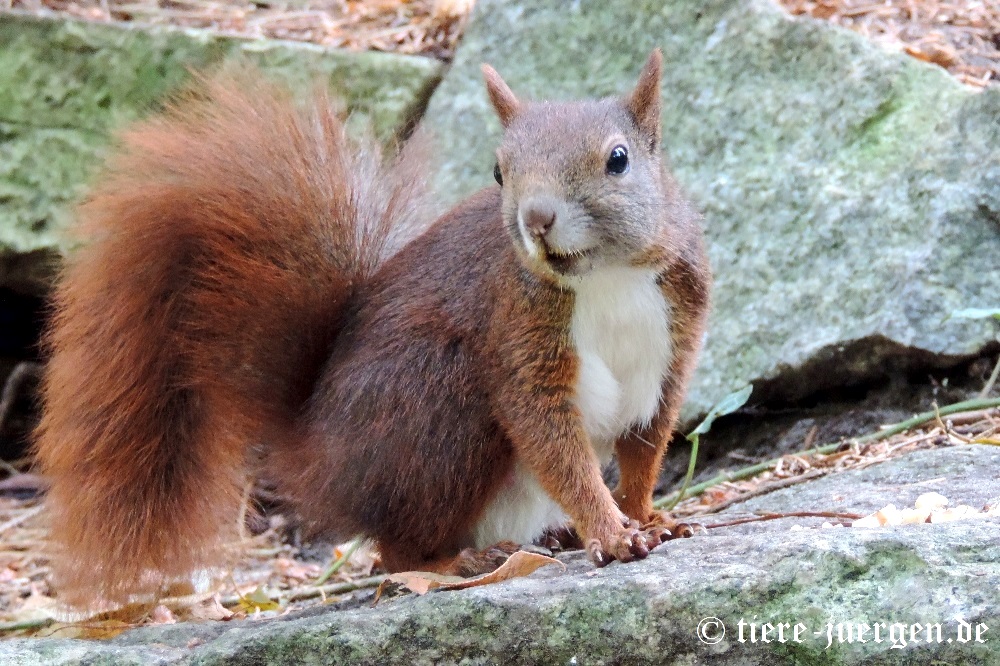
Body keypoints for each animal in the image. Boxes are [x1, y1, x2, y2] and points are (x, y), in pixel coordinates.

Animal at [35, 49, 712, 604]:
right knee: (395, 549)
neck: (604, 279)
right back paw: (459, 560)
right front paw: (611, 532)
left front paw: (648, 517)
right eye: (499, 171)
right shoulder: (520, 340)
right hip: (438, 412)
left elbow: (646, 445)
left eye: (618, 160)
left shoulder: (673, 346)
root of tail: (315, 451)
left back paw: (552, 535)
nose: (536, 218)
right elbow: (553, 440)